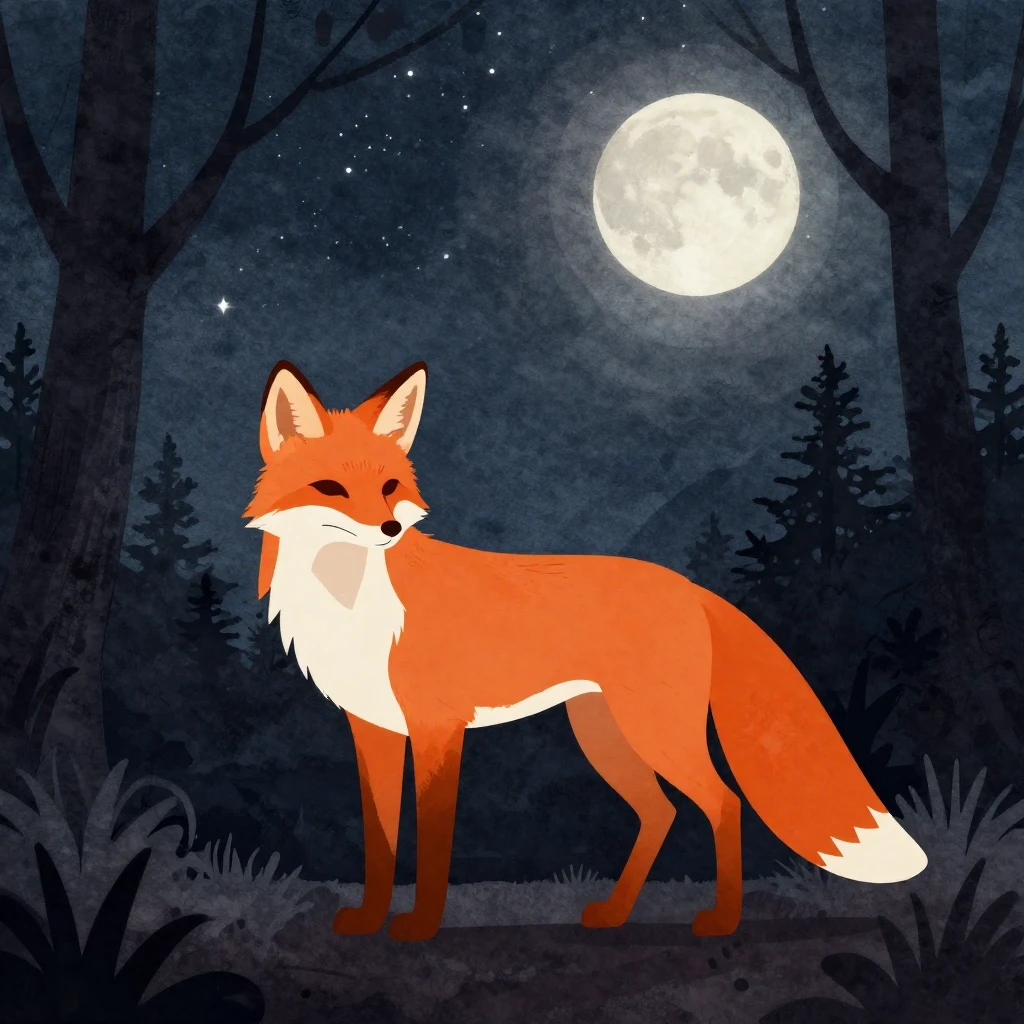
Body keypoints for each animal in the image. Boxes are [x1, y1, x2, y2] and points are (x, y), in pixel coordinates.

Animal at [242, 360, 928, 942]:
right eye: (331, 488)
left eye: (388, 487)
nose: (388, 529)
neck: (350, 602)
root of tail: (688, 586)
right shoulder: (374, 732)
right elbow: (380, 843)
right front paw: (369, 921)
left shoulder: (438, 730)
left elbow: (433, 841)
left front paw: (421, 926)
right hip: (605, 737)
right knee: (661, 813)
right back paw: (616, 913)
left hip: (653, 732)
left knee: (722, 802)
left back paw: (723, 921)